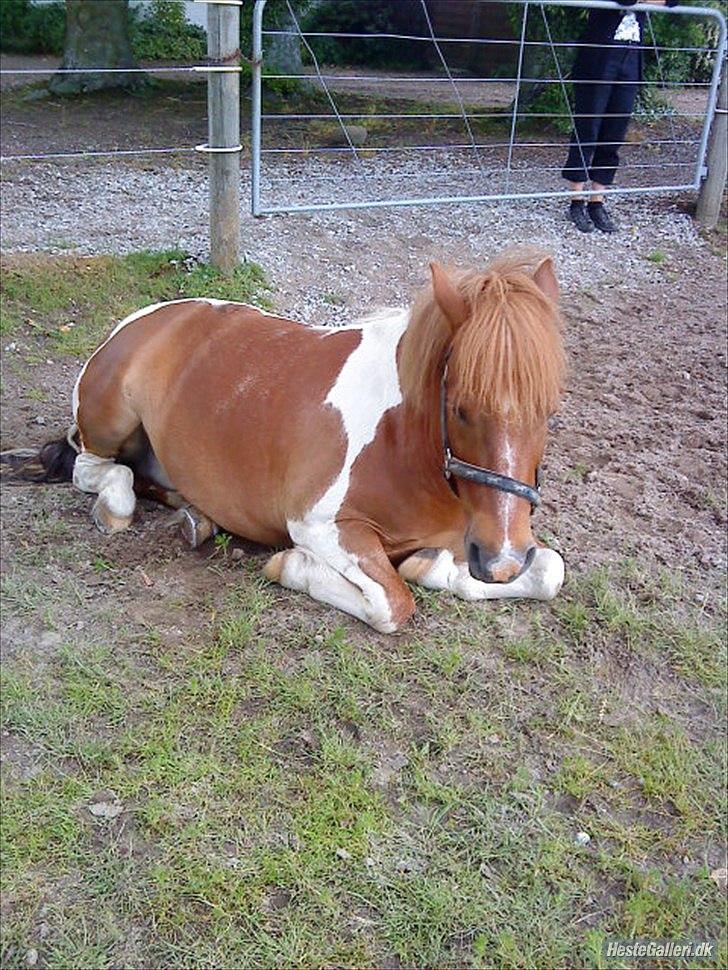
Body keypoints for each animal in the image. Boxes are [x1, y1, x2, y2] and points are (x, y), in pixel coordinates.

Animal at [7, 249, 566, 633]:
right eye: (460, 407)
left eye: (549, 408)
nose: (501, 559)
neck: (404, 444)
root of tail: (147, 316)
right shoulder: (318, 526)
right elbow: (391, 603)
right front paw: (292, 566)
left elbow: (548, 572)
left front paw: (431, 565)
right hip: (107, 425)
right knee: (97, 470)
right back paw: (117, 507)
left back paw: (195, 517)